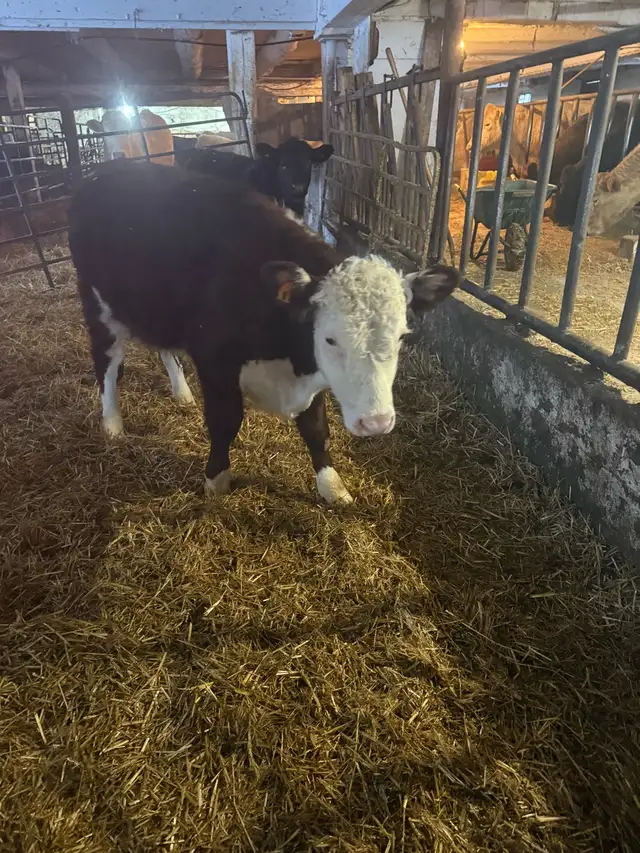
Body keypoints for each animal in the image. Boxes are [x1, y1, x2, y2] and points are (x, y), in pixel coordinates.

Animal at [68, 160, 459, 504]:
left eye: (401, 337)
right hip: (98, 305)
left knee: (164, 349)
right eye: (330, 338)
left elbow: (317, 430)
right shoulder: (216, 363)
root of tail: (104, 171)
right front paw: (216, 480)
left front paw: (332, 486)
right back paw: (112, 424)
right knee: (106, 364)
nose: (376, 422)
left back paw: (181, 393)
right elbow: (225, 422)